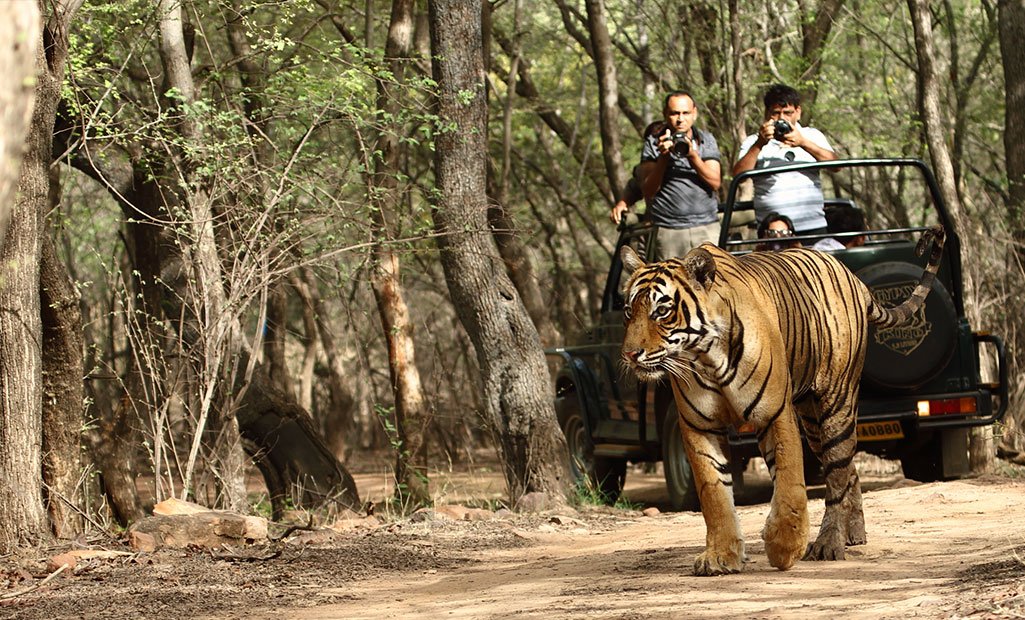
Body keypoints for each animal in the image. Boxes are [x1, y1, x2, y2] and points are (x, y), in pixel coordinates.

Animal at [619, 226, 944, 576]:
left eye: (661, 311)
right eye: (628, 311)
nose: (630, 354)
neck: (706, 357)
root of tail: (854, 278)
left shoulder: (774, 414)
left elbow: (789, 483)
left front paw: (785, 547)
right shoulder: (698, 427)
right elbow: (714, 494)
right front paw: (721, 555)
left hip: (837, 402)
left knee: (837, 473)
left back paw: (829, 543)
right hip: (812, 420)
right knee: (848, 469)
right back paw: (854, 533)